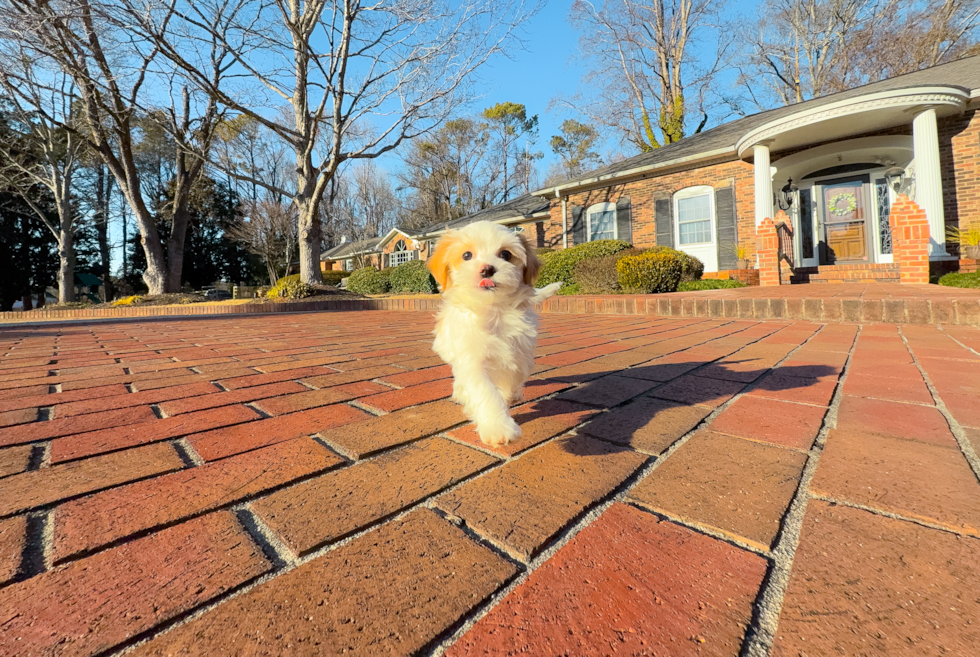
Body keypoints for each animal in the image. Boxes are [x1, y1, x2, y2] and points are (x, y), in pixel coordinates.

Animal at [426, 222, 560, 446]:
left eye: (505, 254)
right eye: (467, 255)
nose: (487, 268)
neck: (493, 310)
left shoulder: (520, 353)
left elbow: (513, 378)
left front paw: (509, 398)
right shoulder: (471, 359)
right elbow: (485, 391)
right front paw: (499, 427)